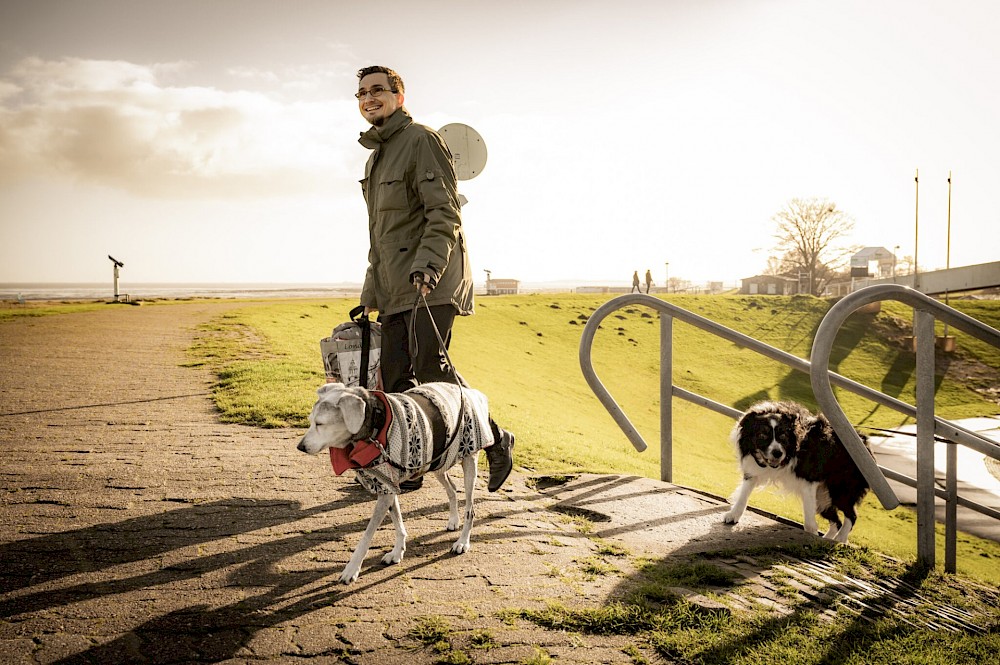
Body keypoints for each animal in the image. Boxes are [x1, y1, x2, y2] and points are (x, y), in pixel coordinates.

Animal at [298, 382, 498, 584]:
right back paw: (453, 520)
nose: (300, 447)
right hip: (438, 460)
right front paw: (397, 552)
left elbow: (367, 535)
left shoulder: (386, 489)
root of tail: (469, 391)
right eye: (311, 421)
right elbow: (398, 521)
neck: (375, 427)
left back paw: (462, 542)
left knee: (470, 509)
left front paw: (352, 569)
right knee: (452, 489)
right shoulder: (387, 485)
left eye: (320, 423)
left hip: (468, 462)